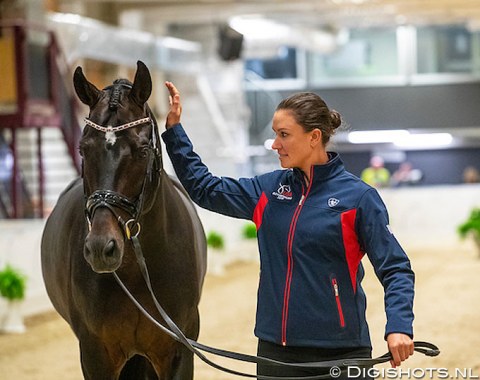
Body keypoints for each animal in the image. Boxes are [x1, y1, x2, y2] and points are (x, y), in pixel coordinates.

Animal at [41, 60, 206, 378]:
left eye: (142, 150)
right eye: (83, 148)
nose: (101, 248)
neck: (135, 273)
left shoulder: (179, 351)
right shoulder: (95, 355)